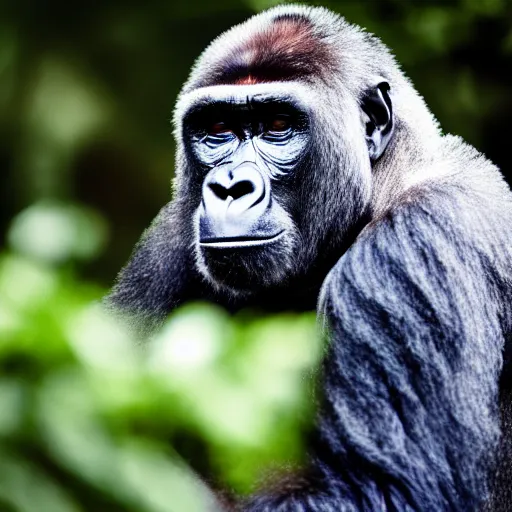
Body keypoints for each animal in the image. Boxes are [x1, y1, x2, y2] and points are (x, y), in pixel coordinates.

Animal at [107, 5, 512, 512]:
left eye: (278, 125)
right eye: (217, 131)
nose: (230, 187)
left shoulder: (421, 237)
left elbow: (385, 491)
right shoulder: (169, 242)